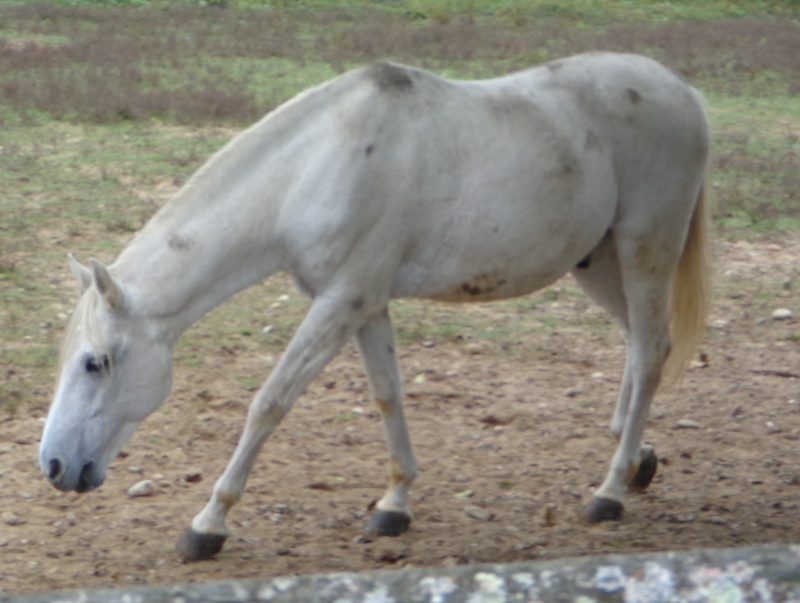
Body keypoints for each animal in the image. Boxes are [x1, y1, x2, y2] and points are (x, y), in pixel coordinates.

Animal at [40, 52, 708, 560]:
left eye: (95, 362)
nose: (53, 465)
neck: (317, 166)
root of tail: (683, 91)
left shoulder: (342, 303)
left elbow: (269, 403)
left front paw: (208, 524)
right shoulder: (365, 305)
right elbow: (388, 395)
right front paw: (394, 506)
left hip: (645, 249)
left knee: (651, 351)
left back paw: (609, 491)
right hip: (599, 262)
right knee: (640, 345)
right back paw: (636, 458)